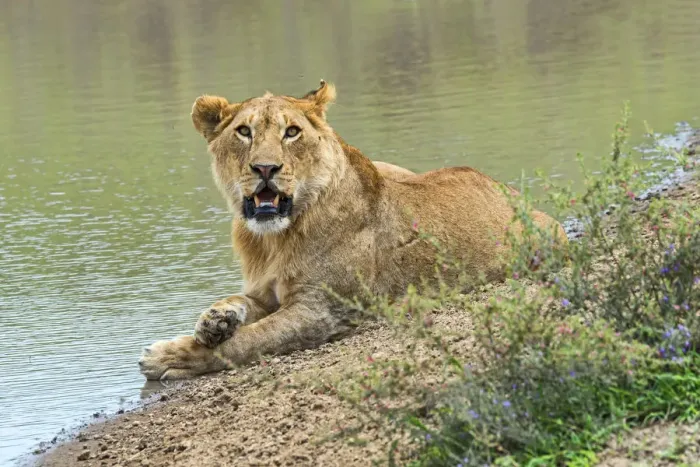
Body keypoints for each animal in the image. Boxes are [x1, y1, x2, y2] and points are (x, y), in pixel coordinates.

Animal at [139, 80, 567, 380]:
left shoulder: (321, 312)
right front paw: (214, 320)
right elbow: (237, 301)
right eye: (244, 132)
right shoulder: (264, 290)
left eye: (291, 132)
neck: (274, 239)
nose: (265, 168)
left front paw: (171, 355)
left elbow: (249, 341)